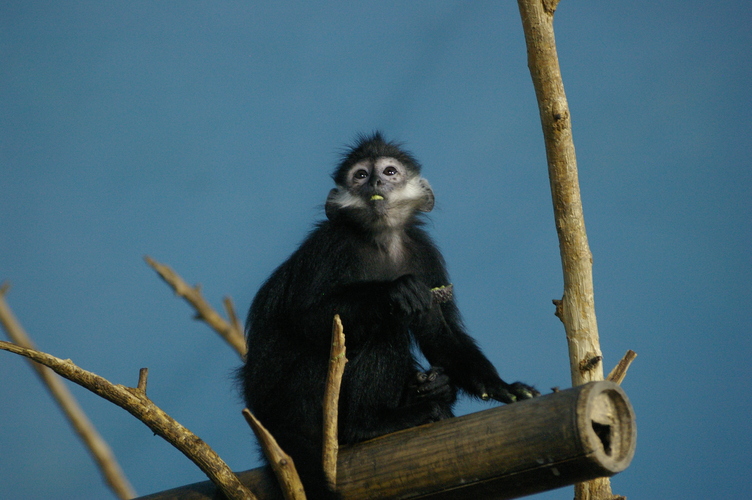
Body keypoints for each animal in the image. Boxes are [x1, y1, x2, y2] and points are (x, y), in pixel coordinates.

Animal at [238, 134, 536, 500]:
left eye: (389, 171)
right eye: (361, 175)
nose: (376, 183)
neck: (382, 241)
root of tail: (266, 411)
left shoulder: (423, 253)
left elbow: (440, 334)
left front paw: (502, 388)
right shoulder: (332, 244)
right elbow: (306, 319)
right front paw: (394, 290)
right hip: (301, 392)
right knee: (383, 327)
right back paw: (369, 425)